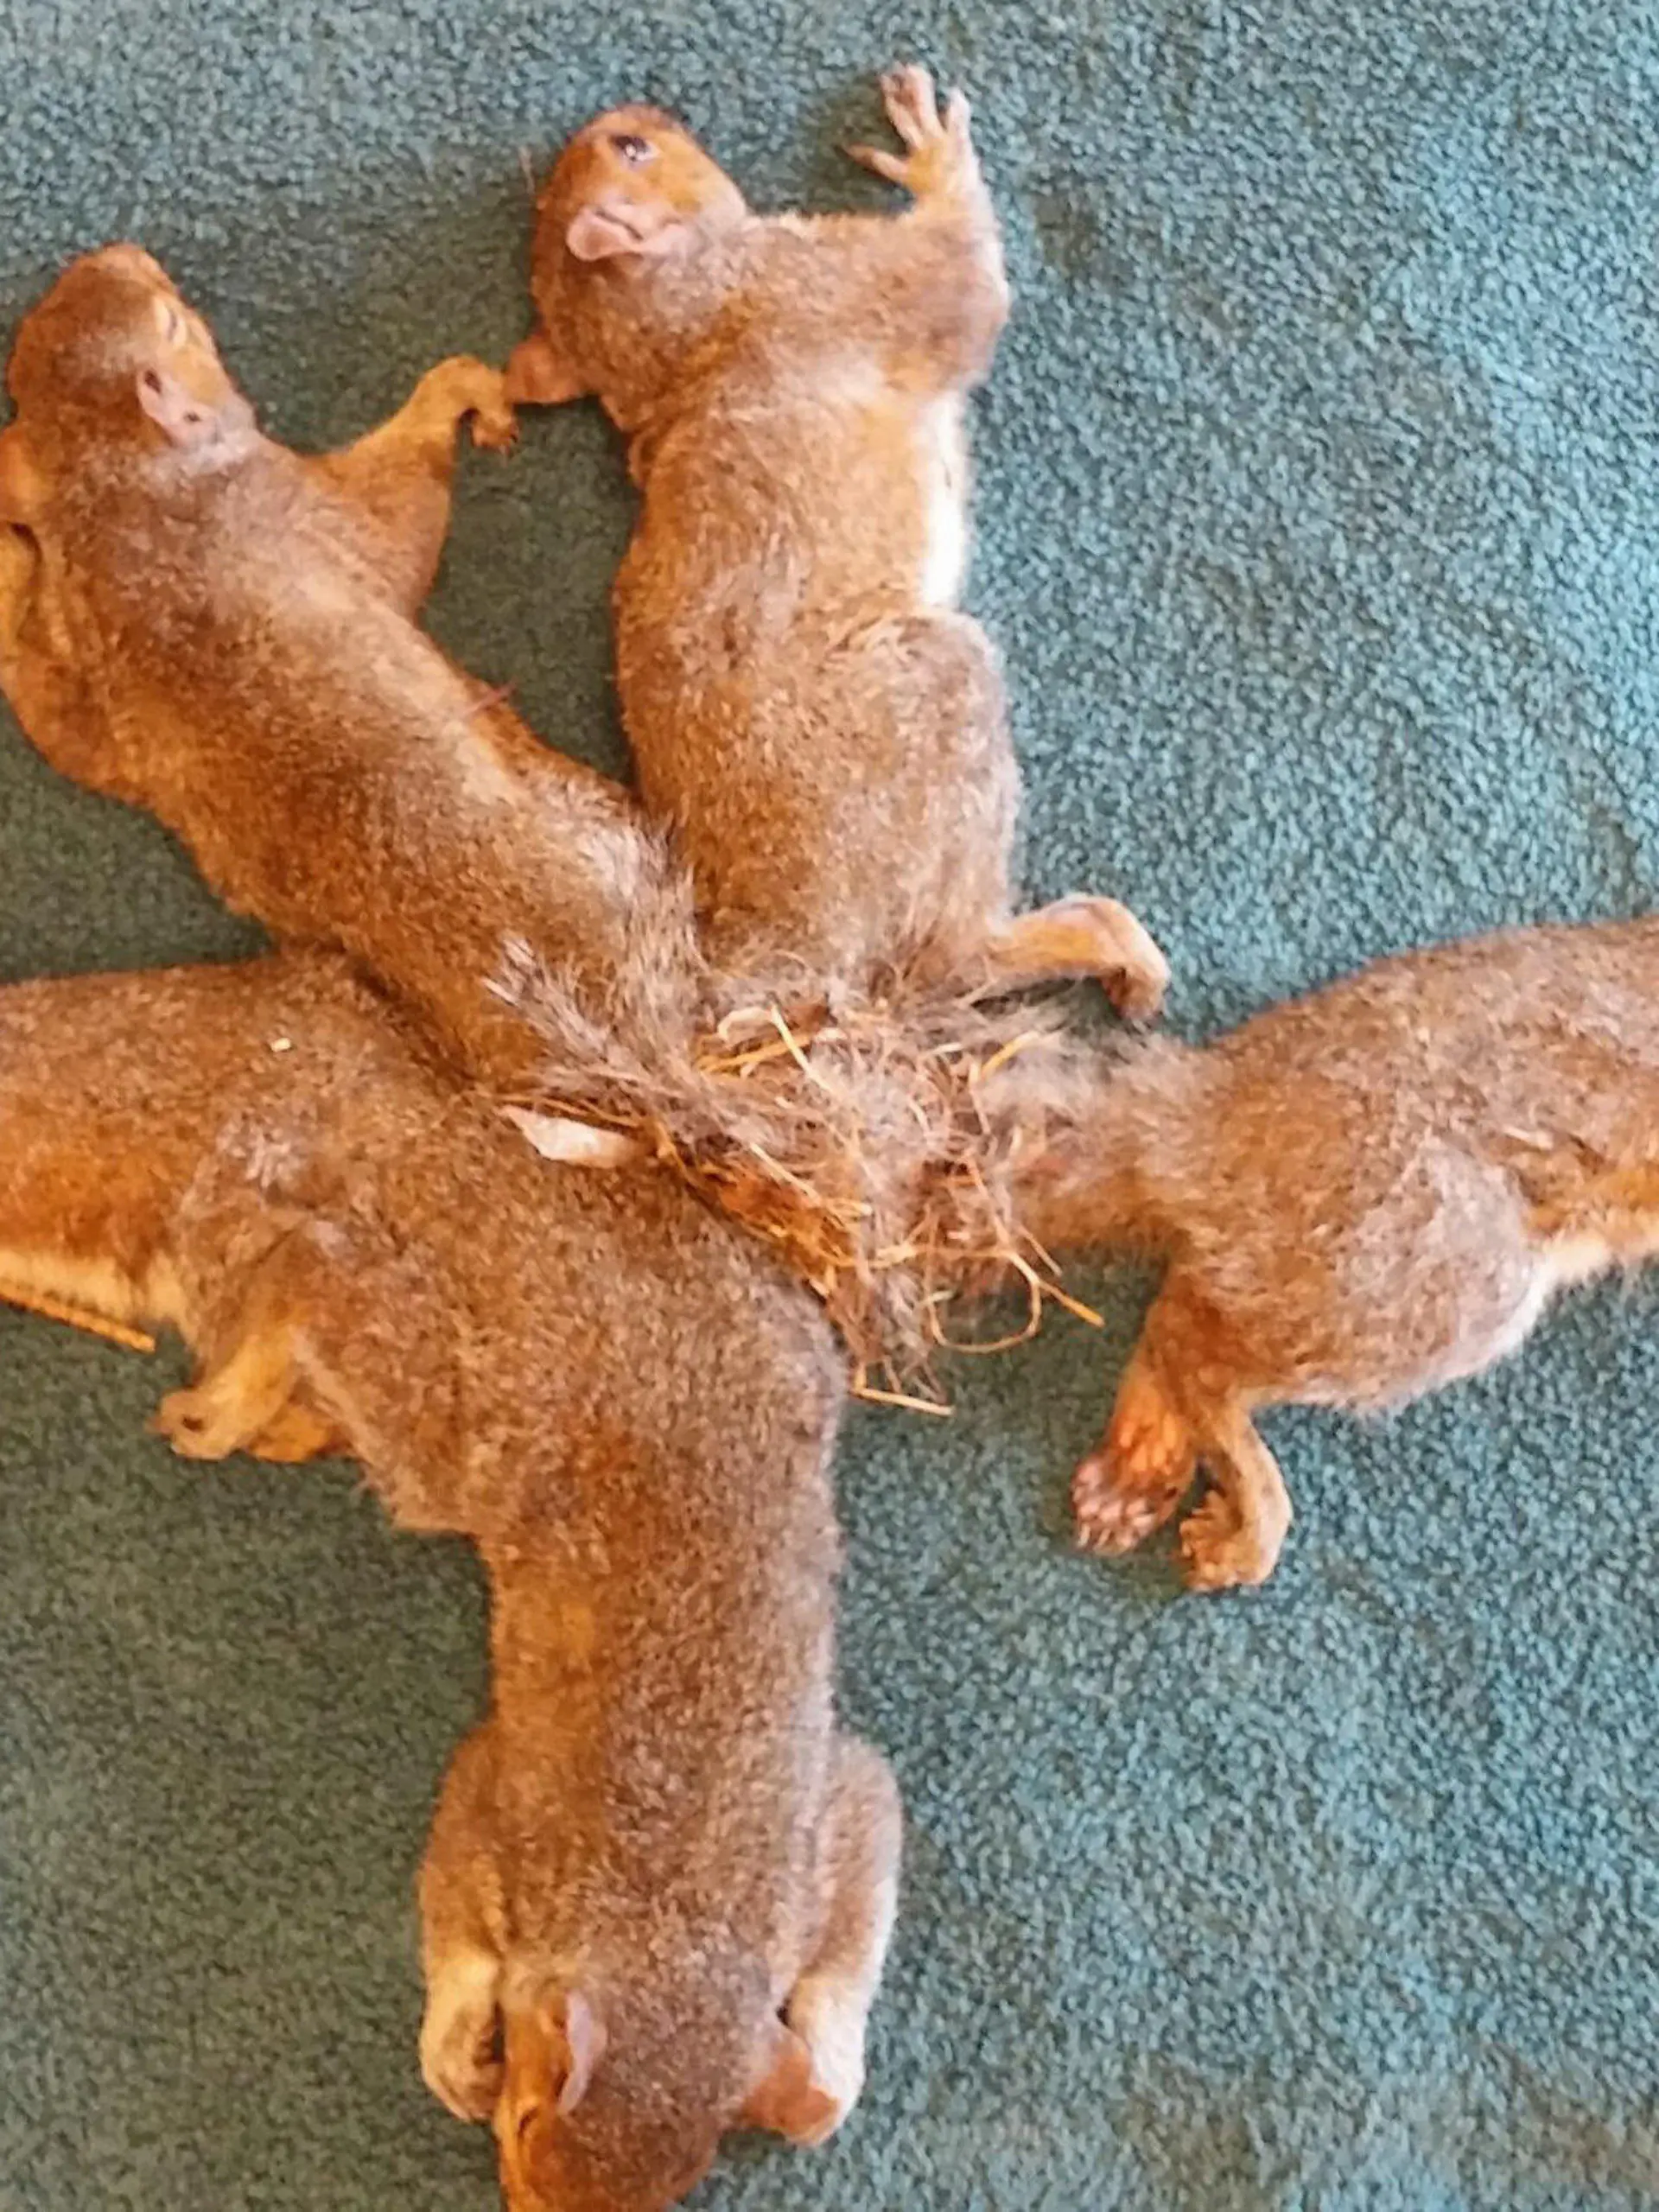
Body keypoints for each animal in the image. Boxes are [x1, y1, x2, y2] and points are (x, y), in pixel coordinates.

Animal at [0, 949, 900, 2208]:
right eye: (526, 2124)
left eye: (673, 2192)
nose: (517, 2195)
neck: (671, 1911)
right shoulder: (500, 1809)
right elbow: (458, 1924)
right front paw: (449, 2042)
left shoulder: (831, 1833)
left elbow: (837, 1993)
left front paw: (814, 2075)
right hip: (455, 1390)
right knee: (315, 1277)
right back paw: (241, 1400)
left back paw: (281, 1410)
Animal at [506, 66, 1168, 1018]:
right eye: (632, 150)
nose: (633, 111)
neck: (678, 327)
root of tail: (780, 938)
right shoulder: (831, 282)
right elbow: (964, 281)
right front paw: (933, 158)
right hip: (935, 698)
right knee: (945, 962)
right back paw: (1093, 941)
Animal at [1015, 916, 1659, 1589]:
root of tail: (1205, 1108)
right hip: (1447, 1267)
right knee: (1193, 1348)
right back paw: (1252, 1512)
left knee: (1182, 1305)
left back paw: (1140, 1459)